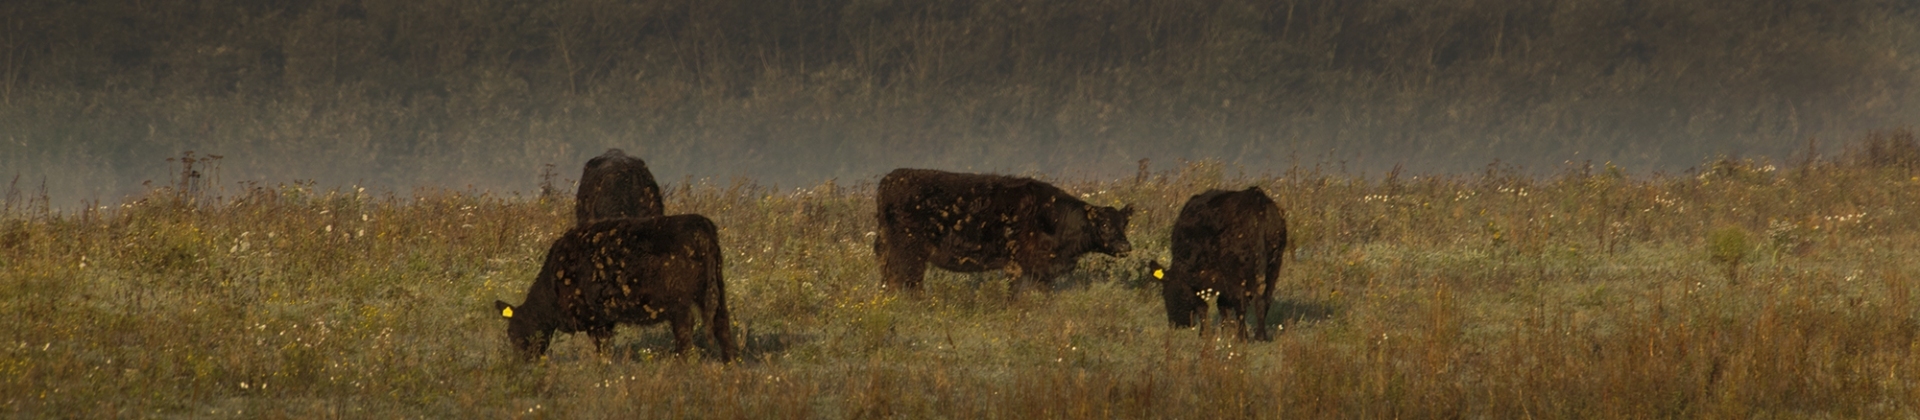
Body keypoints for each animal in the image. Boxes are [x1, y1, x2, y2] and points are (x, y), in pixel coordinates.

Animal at [491, 214, 737, 358]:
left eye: (515, 334)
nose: (522, 364)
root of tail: (701, 224)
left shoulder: (596, 319)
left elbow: (603, 351)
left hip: (680, 303)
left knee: (685, 332)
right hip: (716, 289)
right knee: (722, 324)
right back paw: (730, 363)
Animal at [879, 167, 1128, 295]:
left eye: (1124, 224)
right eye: (1105, 225)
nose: (1126, 246)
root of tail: (891, 178)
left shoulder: (1038, 269)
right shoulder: (1020, 264)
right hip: (910, 252)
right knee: (910, 283)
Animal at [1144, 186, 1282, 341]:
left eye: (1166, 294)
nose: (1176, 324)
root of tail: (1255, 195)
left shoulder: (1194, 278)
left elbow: (1202, 306)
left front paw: (1204, 334)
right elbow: (1222, 305)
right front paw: (1225, 332)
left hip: (1235, 271)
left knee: (1241, 302)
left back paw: (1242, 337)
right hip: (1274, 265)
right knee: (1264, 299)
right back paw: (1260, 336)